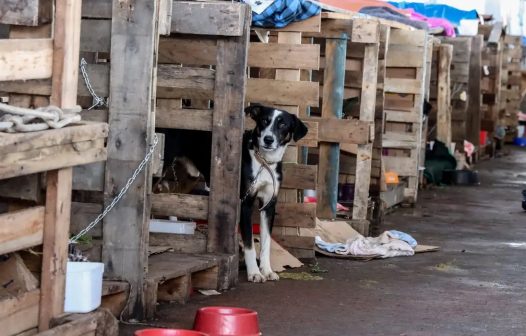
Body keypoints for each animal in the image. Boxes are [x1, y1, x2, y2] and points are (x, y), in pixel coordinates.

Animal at [242, 103, 312, 282]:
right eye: (264, 121)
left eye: (283, 125)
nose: (268, 139)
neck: (264, 162)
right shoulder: (245, 203)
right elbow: (249, 244)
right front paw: (254, 273)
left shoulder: (269, 206)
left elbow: (266, 243)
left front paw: (266, 270)